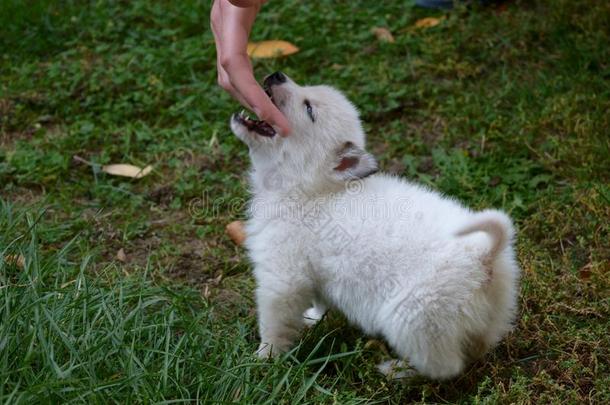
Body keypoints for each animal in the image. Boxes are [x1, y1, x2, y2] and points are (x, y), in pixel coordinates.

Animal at [228, 72, 516, 378]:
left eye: (309, 109)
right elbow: (320, 301)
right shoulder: (317, 273)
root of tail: (484, 254)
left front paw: (260, 361)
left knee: (444, 367)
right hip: (487, 317)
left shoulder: (282, 280)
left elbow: (273, 326)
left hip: (412, 318)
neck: (310, 192)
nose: (277, 75)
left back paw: (397, 370)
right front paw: (313, 319)